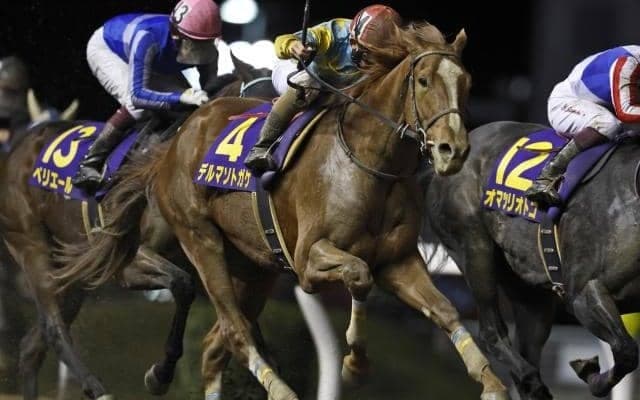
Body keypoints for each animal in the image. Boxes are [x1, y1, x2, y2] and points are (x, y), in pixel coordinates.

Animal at [0, 55, 277, 400]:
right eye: (256, 110)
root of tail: (18, 146)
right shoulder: (127, 262)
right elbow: (183, 284)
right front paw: (160, 375)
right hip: (32, 246)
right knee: (52, 328)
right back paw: (97, 387)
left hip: (74, 275)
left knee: (31, 347)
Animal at [54, 23, 510, 400]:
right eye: (424, 80)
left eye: (466, 83)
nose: (453, 150)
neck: (368, 161)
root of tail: (181, 135)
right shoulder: (309, 259)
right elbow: (359, 277)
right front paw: (355, 364)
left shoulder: (398, 260)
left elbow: (445, 310)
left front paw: (491, 380)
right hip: (200, 239)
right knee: (233, 330)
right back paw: (273, 389)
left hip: (253, 268)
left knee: (215, 345)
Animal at [425, 121, 640, 399]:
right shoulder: (583, 293)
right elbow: (627, 351)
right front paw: (588, 370)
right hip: (473, 246)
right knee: (492, 333)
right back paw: (530, 381)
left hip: (530, 292)